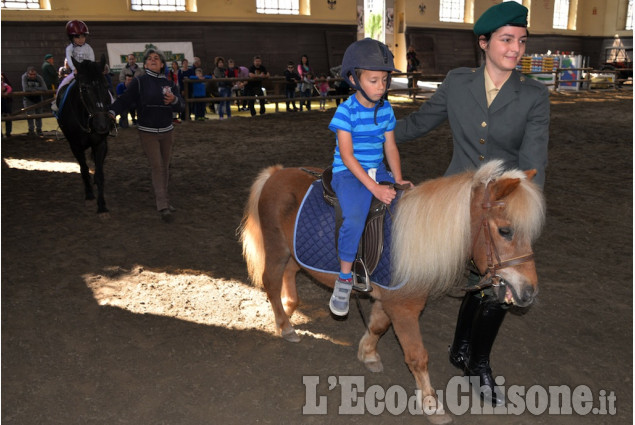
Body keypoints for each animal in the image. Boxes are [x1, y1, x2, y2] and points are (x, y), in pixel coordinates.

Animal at [56, 56, 113, 214]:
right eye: (84, 88)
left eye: (106, 85)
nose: (102, 125)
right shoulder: (75, 146)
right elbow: (84, 169)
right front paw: (89, 196)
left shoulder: (100, 144)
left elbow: (99, 174)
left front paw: (102, 206)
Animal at [238, 160, 548, 424]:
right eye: (505, 231)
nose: (529, 291)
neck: (417, 238)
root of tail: (276, 173)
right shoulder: (404, 308)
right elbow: (417, 356)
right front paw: (432, 405)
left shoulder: (389, 300)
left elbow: (377, 326)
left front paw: (368, 354)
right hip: (276, 248)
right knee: (270, 281)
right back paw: (285, 325)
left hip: (294, 252)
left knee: (289, 276)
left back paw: (291, 307)